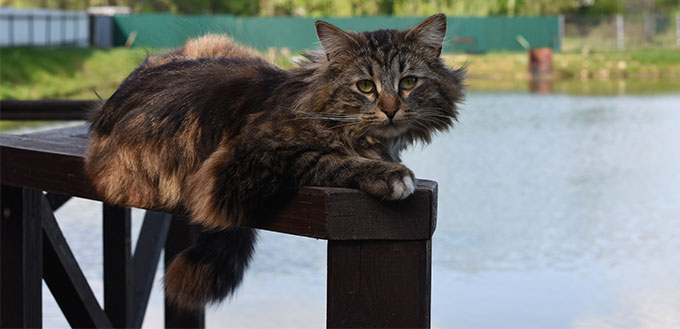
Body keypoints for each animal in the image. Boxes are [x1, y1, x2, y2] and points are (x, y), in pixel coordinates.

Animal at [85, 12, 464, 310]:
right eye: (366, 86)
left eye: (409, 82)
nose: (390, 110)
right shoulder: (244, 161)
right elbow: (329, 158)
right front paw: (391, 175)